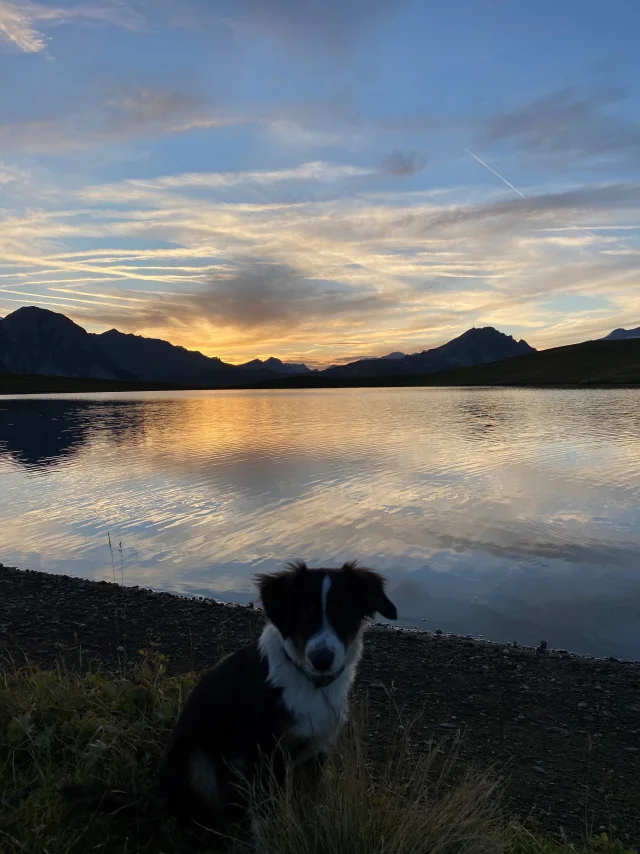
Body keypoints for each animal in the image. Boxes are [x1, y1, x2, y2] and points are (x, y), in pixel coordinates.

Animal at [158, 560, 398, 832]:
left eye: (343, 613)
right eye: (303, 612)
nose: (322, 660)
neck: (310, 683)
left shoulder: (315, 751)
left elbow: (308, 805)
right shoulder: (264, 754)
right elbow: (266, 816)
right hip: (195, 757)